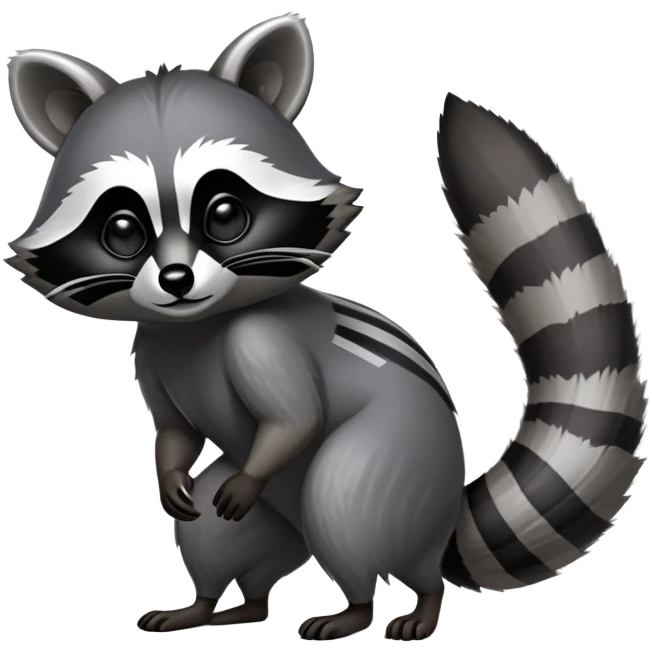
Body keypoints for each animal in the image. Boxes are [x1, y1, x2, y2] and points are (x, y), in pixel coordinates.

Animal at [5, 13, 648, 643]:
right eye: (122, 230)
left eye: (224, 215)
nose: (176, 280)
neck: (196, 325)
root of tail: (444, 518)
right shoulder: (152, 349)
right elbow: (176, 433)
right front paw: (169, 473)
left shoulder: (261, 339)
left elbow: (296, 419)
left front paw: (260, 461)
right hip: (277, 521)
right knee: (219, 540)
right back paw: (221, 605)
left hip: (397, 461)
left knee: (345, 511)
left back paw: (381, 607)